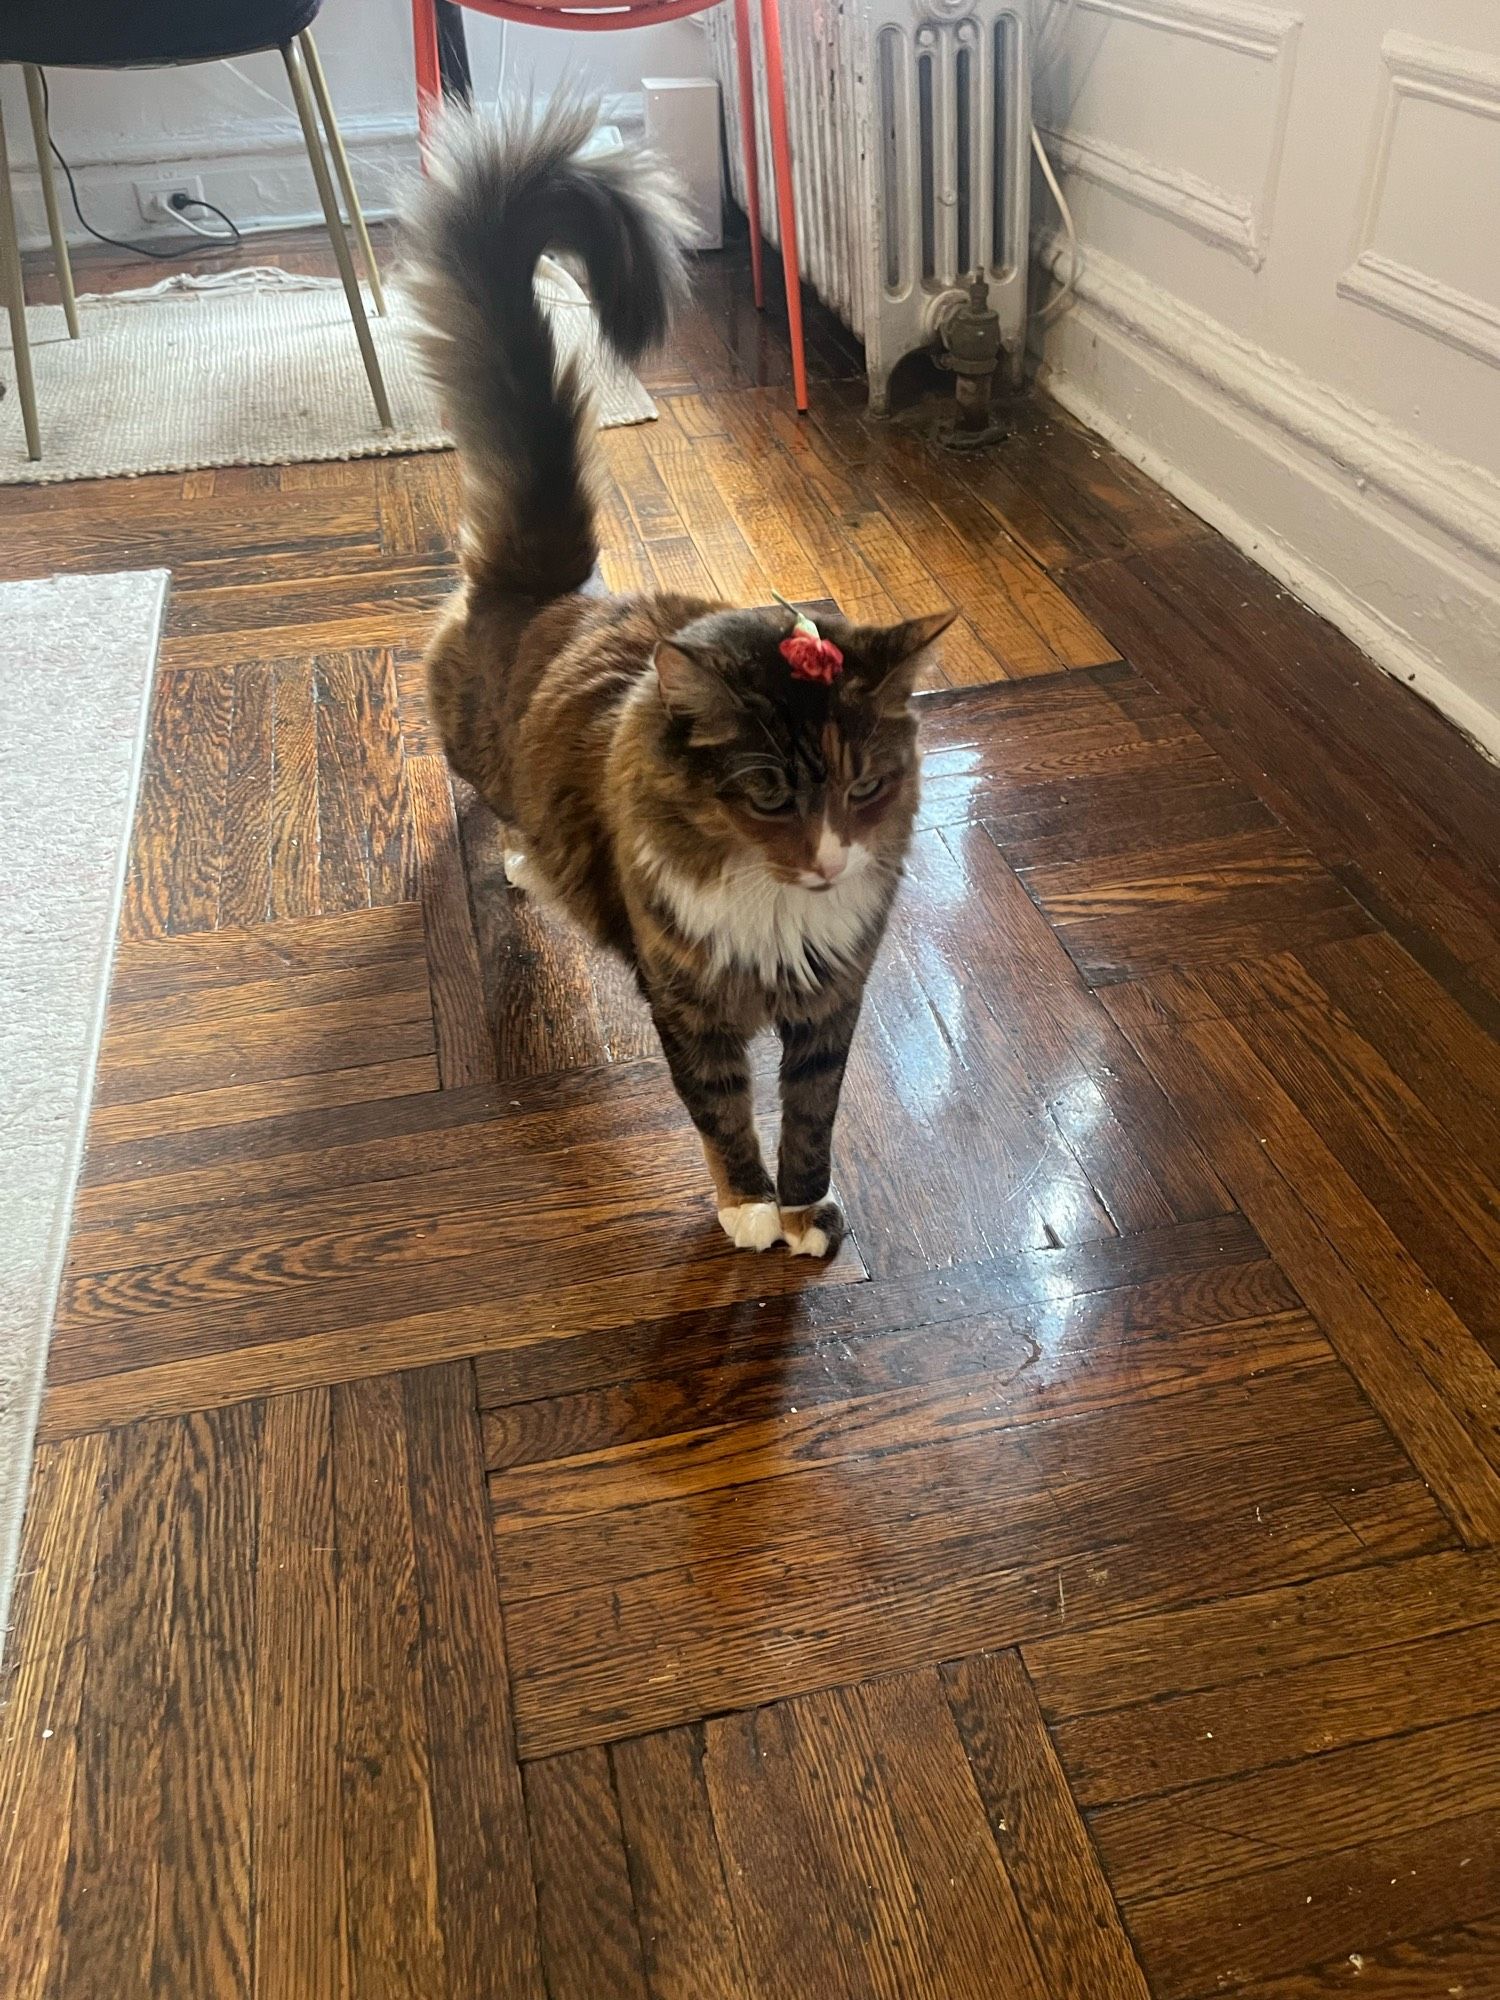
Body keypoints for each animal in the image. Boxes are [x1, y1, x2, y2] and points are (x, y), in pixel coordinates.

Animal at [406, 101, 956, 1256]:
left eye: (867, 786)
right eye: (770, 794)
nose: (831, 860)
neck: (775, 909)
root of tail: (548, 584)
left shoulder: (830, 1005)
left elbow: (812, 1115)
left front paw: (804, 1214)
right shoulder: (689, 1004)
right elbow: (720, 1112)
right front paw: (746, 1211)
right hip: (478, 753)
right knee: (495, 808)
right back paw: (523, 863)